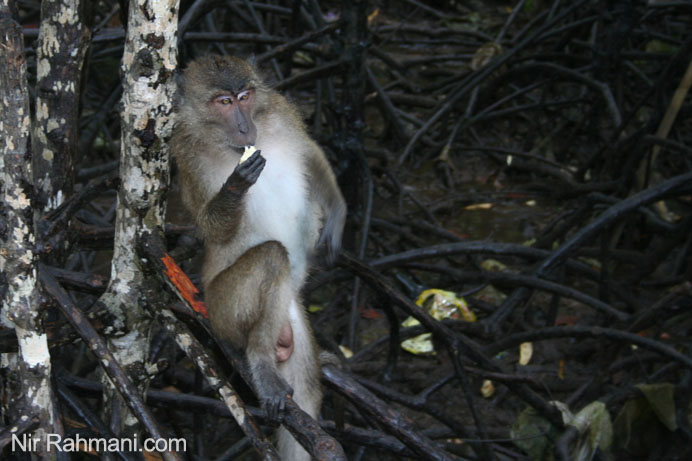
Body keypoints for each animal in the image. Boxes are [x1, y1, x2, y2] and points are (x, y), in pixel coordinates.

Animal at [170, 55, 346, 460]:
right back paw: (260, 359)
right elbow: (211, 227)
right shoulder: (186, 151)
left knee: (307, 390)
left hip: (291, 321)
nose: (244, 126)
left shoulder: (280, 111)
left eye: (245, 97)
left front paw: (337, 216)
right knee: (271, 257)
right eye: (223, 102)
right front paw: (235, 185)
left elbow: (310, 152)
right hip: (222, 311)